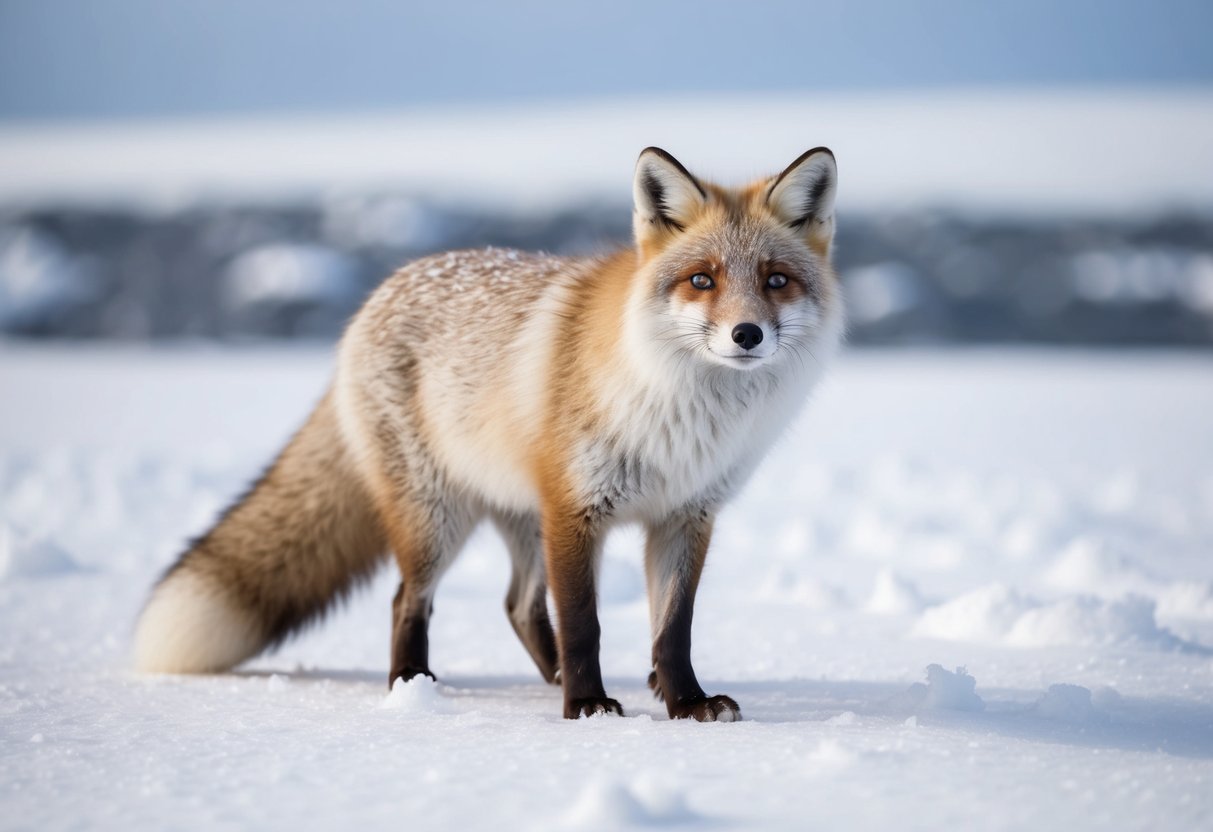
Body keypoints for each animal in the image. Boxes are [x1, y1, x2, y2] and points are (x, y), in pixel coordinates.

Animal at [134, 146, 844, 721]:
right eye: (702, 279)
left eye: (776, 281)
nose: (747, 334)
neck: (681, 414)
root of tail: (379, 294)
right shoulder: (574, 509)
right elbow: (584, 623)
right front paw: (588, 708)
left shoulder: (684, 516)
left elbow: (673, 631)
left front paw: (686, 703)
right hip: (437, 517)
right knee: (409, 600)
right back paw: (415, 685)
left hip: (517, 516)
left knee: (519, 605)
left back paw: (557, 680)